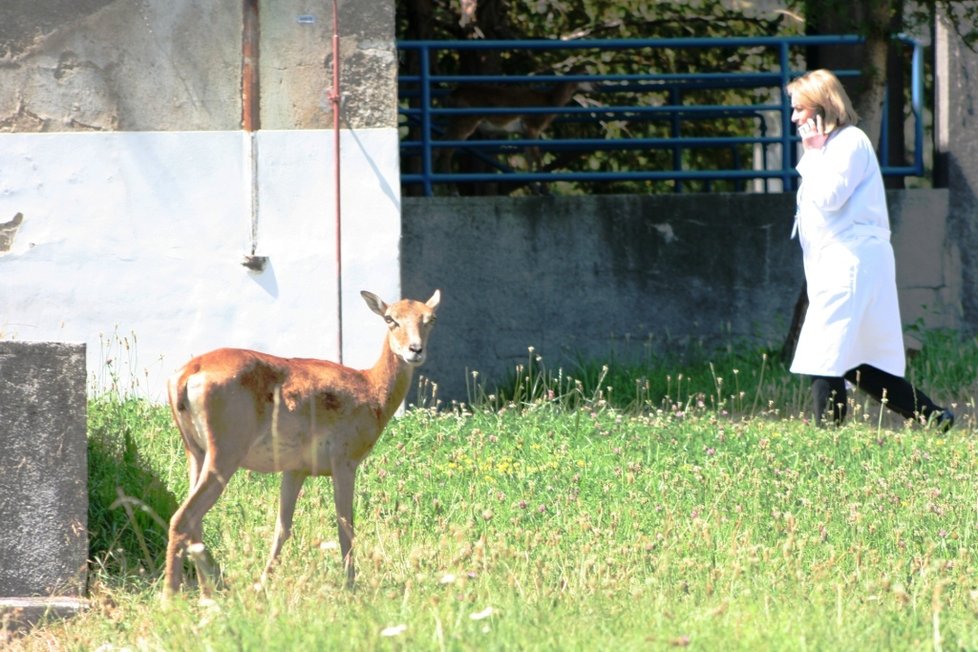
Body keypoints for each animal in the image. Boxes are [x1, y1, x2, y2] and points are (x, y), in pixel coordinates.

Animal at [166, 290, 440, 596]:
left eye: (430, 318)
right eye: (390, 318)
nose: (415, 350)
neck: (371, 390)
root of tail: (186, 375)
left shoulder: (295, 469)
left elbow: (282, 527)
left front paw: (262, 583)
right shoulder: (344, 460)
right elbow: (345, 526)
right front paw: (350, 586)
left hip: (195, 451)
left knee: (194, 522)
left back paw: (208, 592)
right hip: (225, 451)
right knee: (182, 517)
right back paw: (171, 596)